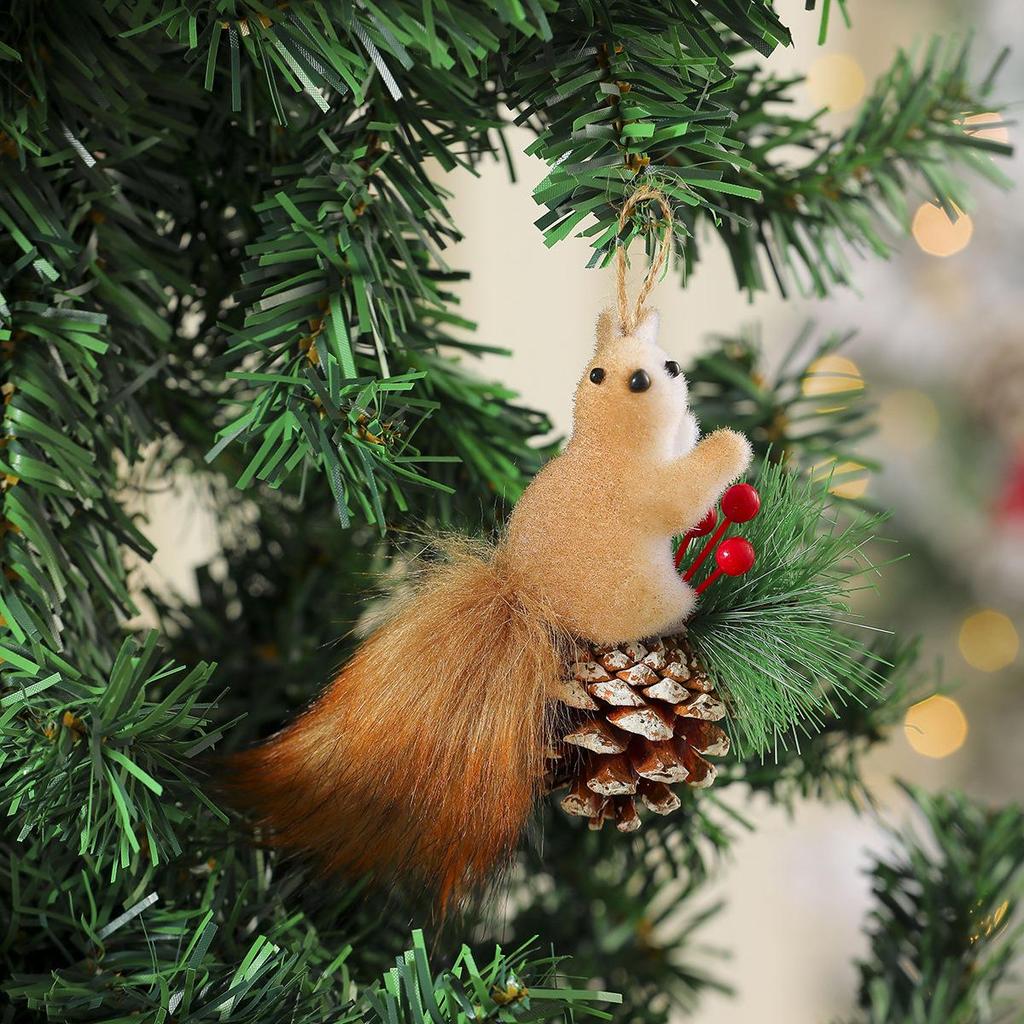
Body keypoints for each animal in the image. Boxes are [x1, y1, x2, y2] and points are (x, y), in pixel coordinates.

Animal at [226, 307, 752, 910]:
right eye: (619, 377)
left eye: (661, 361)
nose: (670, 370)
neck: (606, 446)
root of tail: (521, 594)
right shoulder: (644, 489)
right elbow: (683, 496)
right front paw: (729, 446)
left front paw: (687, 423)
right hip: (647, 594)